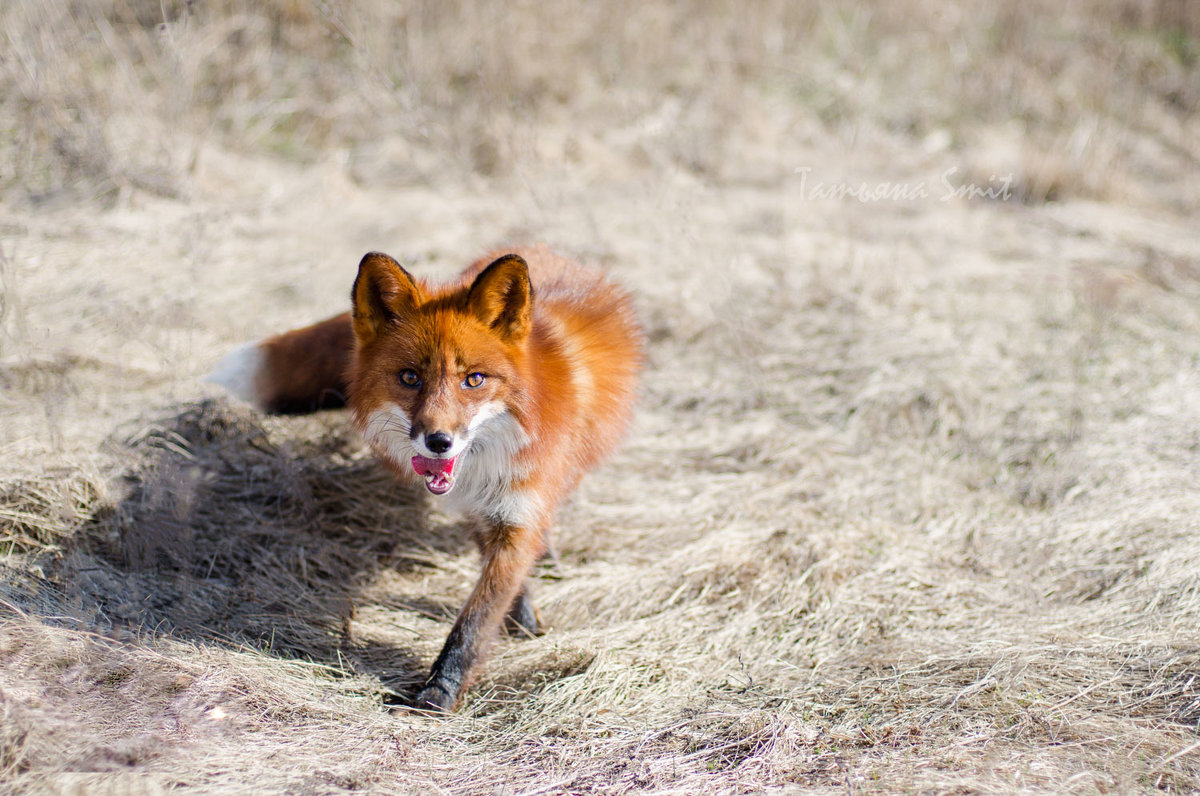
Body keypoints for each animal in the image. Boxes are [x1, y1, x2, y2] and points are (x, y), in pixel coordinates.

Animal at [208, 246, 638, 710]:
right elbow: (499, 586)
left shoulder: (521, 505)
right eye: (410, 377)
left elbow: (475, 618)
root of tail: (542, 250)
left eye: (474, 379)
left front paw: (439, 694)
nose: (438, 442)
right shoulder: (477, 509)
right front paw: (518, 619)